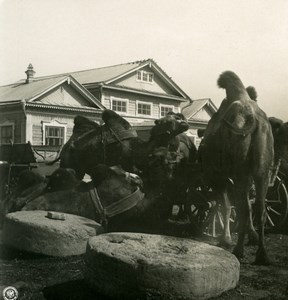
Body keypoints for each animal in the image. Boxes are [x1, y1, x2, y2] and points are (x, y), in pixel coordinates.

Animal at [200, 71, 274, 264]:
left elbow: (224, 206)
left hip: (241, 172)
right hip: (262, 172)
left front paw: (225, 239)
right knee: (259, 208)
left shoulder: (218, 176)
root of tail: (253, 120)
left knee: (244, 209)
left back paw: (238, 250)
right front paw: (251, 237)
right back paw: (262, 255)